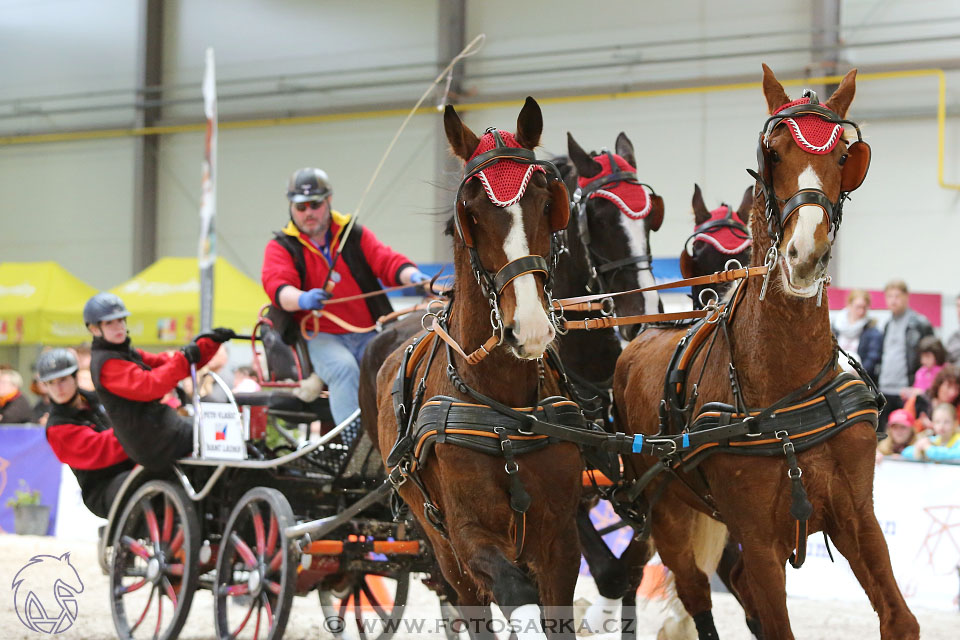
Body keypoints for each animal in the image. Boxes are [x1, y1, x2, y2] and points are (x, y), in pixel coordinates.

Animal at [374, 97, 580, 636]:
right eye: (468, 214)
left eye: (546, 202)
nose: (529, 326)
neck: (505, 410)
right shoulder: (470, 538)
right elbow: (515, 599)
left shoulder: (561, 540)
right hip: (443, 549)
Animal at [612, 62, 920, 636]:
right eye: (772, 153)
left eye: (844, 158)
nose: (805, 255)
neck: (786, 389)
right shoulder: (758, 540)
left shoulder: (858, 518)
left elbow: (900, 619)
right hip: (667, 513)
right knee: (696, 594)